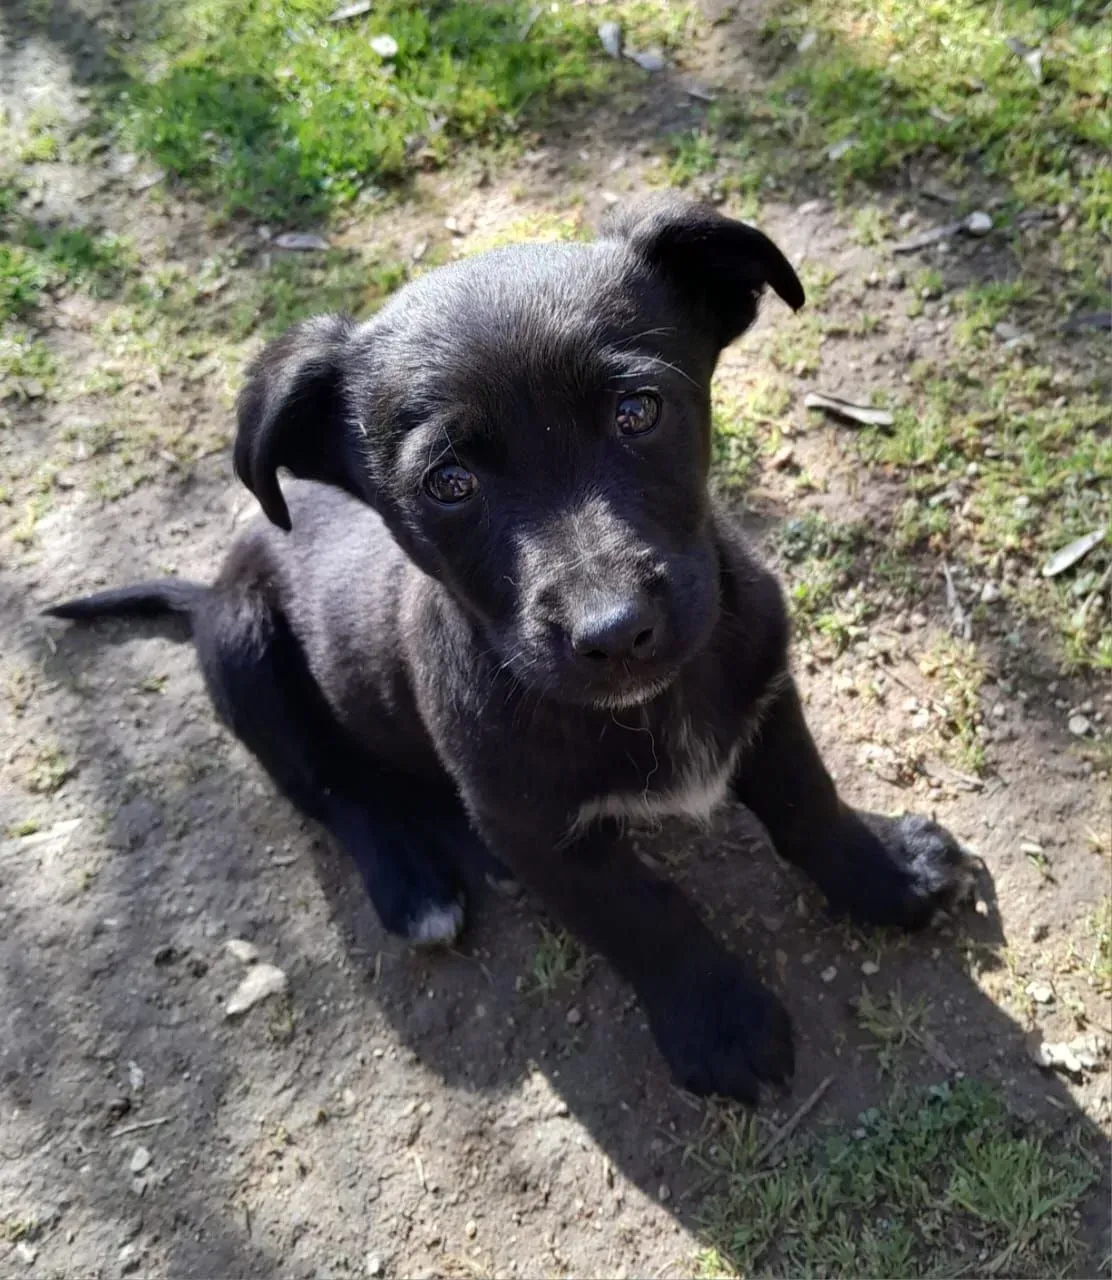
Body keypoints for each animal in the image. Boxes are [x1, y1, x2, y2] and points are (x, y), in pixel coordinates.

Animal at [46, 195, 970, 1103]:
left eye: (639, 413)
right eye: (449, 483)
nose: (615, 631)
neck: (652, 705)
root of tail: (205, 592)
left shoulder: (766, 695)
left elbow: (809, 804)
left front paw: (886, 874)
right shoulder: (531, 827)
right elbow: (645, 914)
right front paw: (720, 1023)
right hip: (247, 652)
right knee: (333, 791)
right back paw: (413, 882)